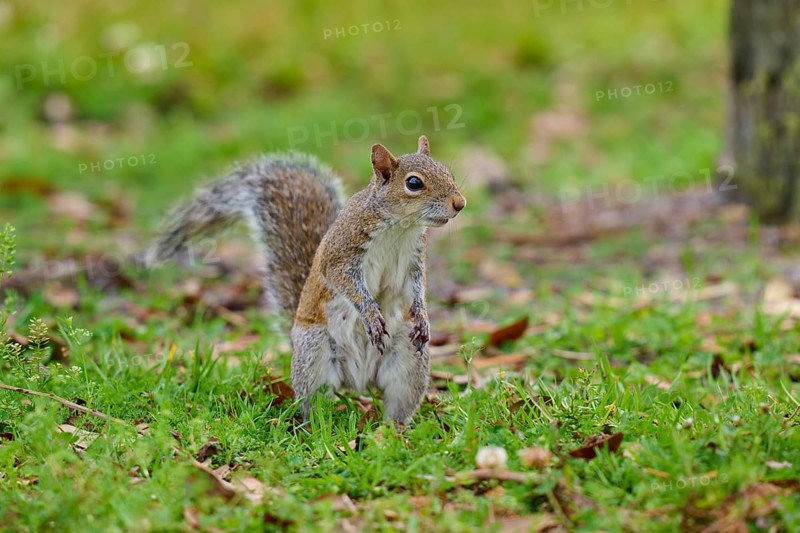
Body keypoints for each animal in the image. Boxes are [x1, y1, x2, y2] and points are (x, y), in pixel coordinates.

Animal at [148, 135, 466, 424]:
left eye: (447, 171)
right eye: (414, 183)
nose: (460, 203)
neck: (400, 228)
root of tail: (359, 382)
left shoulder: (413, 260)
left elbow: (416, 289)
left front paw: (422, 316)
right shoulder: (342, 253)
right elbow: (345, 282)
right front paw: (371, 314)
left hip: (408, 359)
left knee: (399, 399)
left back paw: (395, 429)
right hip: (314, 351)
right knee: (313, 400)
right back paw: (313, 425)